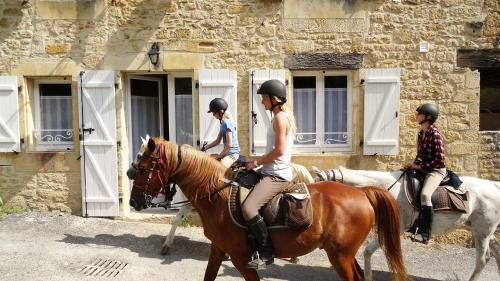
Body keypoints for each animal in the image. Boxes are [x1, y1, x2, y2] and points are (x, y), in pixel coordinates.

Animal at [127, 137, 408, 280]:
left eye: (143, 167)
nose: (133, 202)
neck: (218, 194)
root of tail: (361, 192)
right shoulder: (218, 249)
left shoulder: (241, 259)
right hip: (345, 255)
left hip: (340, 256)